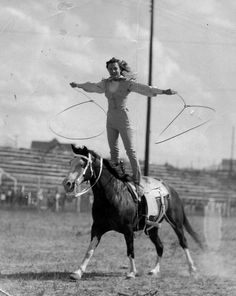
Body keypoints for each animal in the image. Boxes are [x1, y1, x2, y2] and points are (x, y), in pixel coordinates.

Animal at [63, 146, 203, 280]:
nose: (67, 184)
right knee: (160, 246)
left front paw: (131, 272)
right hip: (152, 229)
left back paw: (192, 269)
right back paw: (154, 270)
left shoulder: (128, 229)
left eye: (82, 164)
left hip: (176, 223)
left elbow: (130, 250)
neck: (114, 195)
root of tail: (171, 189)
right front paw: (78, 272)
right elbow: (90, 250)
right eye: (70, 162)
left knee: (183, 242)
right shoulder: (97, 227)